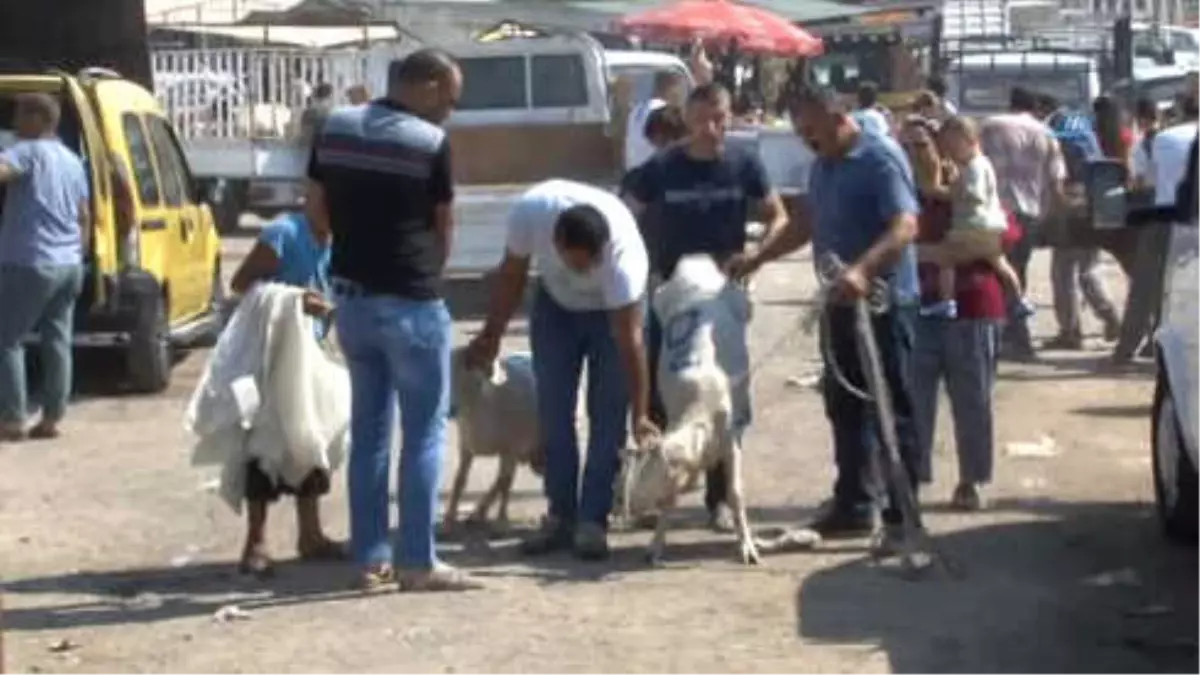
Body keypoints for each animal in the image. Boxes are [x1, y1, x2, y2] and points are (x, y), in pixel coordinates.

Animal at [619, 252, 758, 562]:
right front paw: (655, 546)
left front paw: (747, 547)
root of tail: (695, 263)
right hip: (664, 300)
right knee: (658, 293)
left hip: (734, 300)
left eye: (653, 472)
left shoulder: (730, 439)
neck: (699, 416)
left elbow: (735, 492)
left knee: (745, 304)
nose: (629, 510)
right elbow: (671, 501)